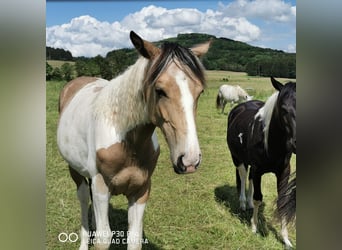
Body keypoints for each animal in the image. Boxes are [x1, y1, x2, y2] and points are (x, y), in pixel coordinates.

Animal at [56, 31, 211, 250]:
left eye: (200, 92)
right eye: (160, 90)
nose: (189, 160)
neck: (127, 143)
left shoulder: (141, 190)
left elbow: (134, 238)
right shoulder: (101, 187)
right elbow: (104, 238)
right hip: (75, 171)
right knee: (84, 198)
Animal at [226, 76, 296, 248]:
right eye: (283, 108)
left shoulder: (284, 171)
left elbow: (282, 201)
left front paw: (286, 239)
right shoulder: (258, 169)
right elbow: (258, 197)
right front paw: (254, 227)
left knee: (249, 177)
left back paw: (249, 203)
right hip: (237, 158)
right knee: (243, 176)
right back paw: (243, 203)